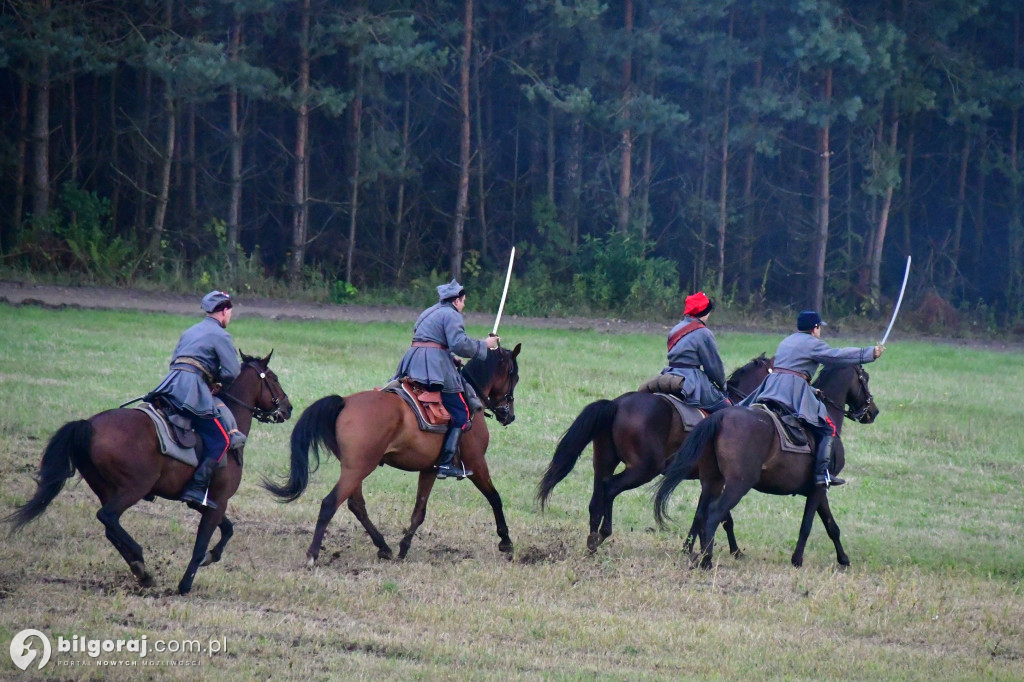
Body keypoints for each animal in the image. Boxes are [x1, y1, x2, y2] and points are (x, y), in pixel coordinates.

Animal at [4, 352, 292, 593]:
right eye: (274, 379)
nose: (288, 408)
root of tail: (89, 425)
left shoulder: (204, 502)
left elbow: (228, 529)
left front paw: (212, 557)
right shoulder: (218, 501)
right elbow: (202, 544)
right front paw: (185, 585)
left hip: (107, 489)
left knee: (110, 526)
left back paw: (140, 569)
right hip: (133, 489)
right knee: (107, 517)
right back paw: (140, 562)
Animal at [264, 342, 520, 561]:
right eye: (513, 376)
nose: (509, 415)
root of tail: (344, 402)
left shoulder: (430, 469)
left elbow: (419, 511)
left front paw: (404, 548)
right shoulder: (476, 463)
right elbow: (495, 498)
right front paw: (506, 542)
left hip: (354, 468)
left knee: (356, 505)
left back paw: (384, 547)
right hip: (358, 468)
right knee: (330, 503)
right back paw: (313, 554)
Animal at [536, 352, 770, 548]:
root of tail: (616, 404)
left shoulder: (711, 480)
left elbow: (705, 515)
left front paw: (689, 548)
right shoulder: (717, 480)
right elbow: (722, 517)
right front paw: (733, 550)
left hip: (603, 461)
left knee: (597, 498)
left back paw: (592, 540)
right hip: (644, 469)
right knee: (610, 488)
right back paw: (603, 533)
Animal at [655, 364, 880, 565]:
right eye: (865, 378)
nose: (873, 412)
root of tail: (721, 416)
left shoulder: (817, 489)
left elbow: (831, 526)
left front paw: (843, 559)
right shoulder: (819, 488)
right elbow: (808, 524)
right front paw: (797, 560)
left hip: (712, 481)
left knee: (702, 514)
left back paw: (698, 556)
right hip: (738, 484)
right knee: (713, 515)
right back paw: (707, 561)